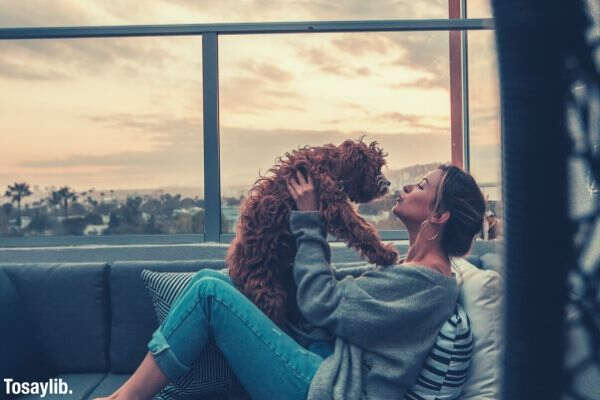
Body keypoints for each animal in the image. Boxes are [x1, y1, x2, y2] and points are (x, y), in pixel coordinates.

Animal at [225, 137, 398, 324]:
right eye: (376, 167)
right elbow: (360, 228)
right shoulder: (333, 204)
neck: (331, 166)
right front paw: (385, 253)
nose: (388, 183)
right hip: (267, 290)